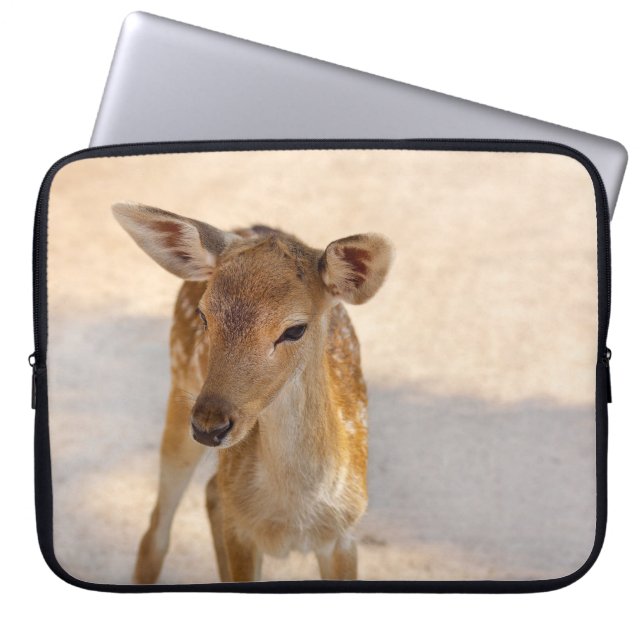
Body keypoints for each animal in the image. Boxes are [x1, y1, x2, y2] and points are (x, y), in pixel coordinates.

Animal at [112, 202, 394, 583]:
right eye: (204, 316)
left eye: (295, 329)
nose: (209, 425)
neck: (293, 517)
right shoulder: (242, 533)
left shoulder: (344, 535)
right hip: (180, 388)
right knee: (157, 528)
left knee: (211, 491)